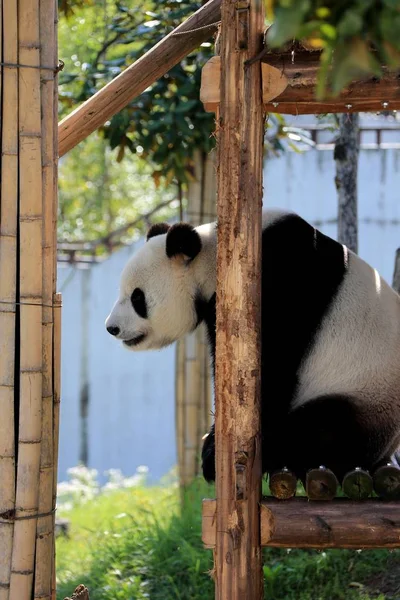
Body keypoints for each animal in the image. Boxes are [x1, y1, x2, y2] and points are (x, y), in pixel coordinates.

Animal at [104, 209, 400, 486]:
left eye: (137, 298)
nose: (111, 328)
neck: (217, 259)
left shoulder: (284, 276)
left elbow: (273, 365)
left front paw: (215, 453)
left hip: (365, 394)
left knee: (323, 430)